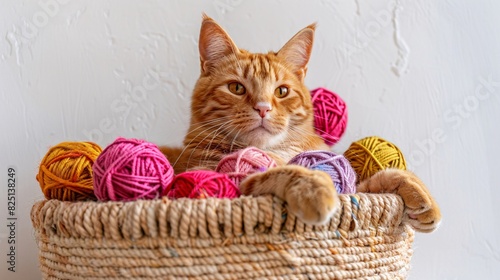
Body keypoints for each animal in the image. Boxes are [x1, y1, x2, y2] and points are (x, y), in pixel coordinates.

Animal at [160, 15, 442, 232]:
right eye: (236, 88)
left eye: (282, 91)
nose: (263, 108)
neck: (274, 150)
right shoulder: (216, 184)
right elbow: (277, 172)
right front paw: (314, 188)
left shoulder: (352, 189)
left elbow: (369, 184)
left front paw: (414, 187)